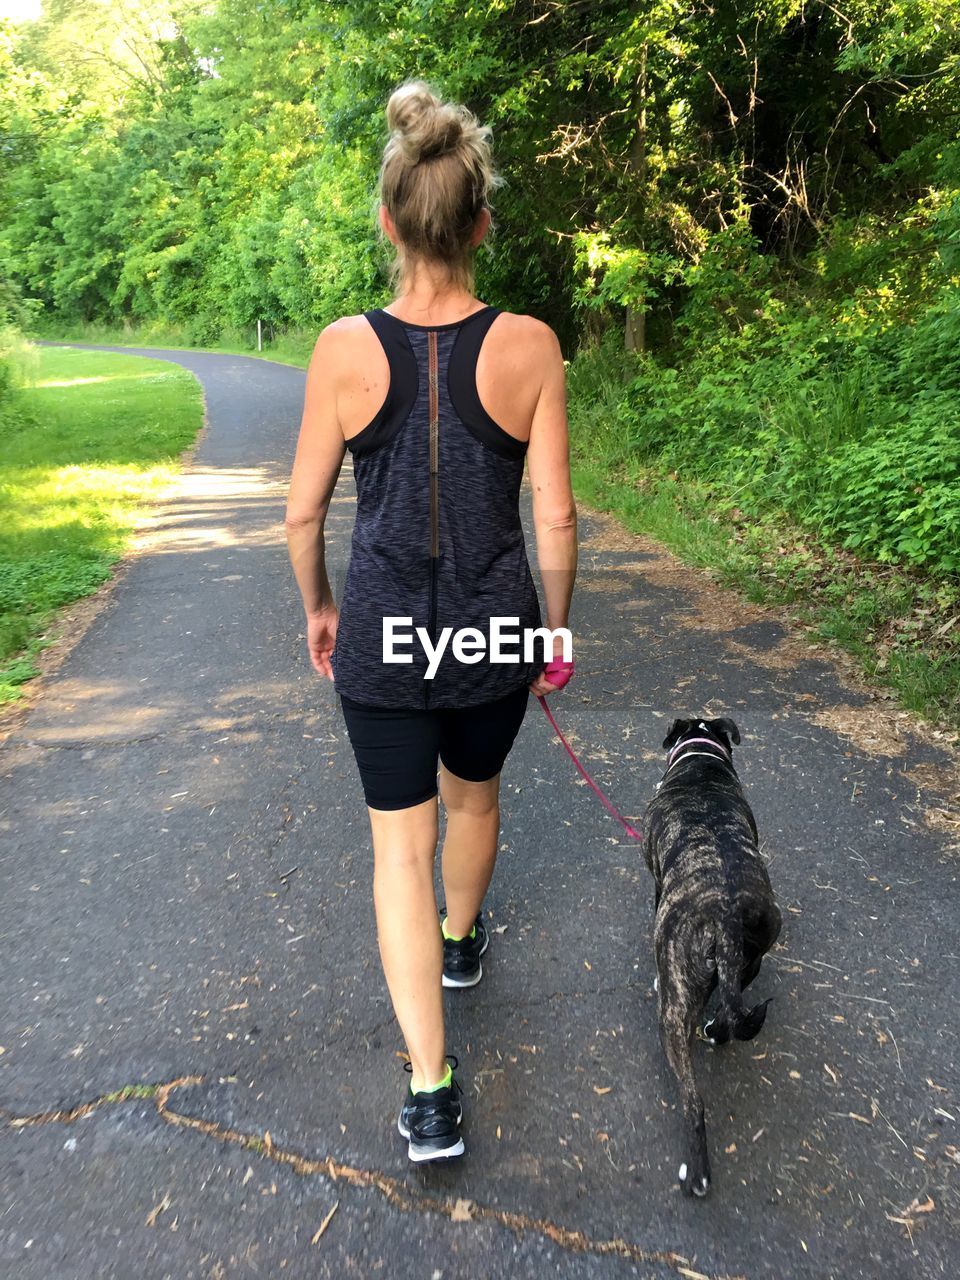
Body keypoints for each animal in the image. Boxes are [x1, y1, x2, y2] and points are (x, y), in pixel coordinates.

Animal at [640, 716, 783, 1192]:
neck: (702, 760)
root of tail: (727, 915)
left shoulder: (657, 884)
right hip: (750, 959)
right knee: (729, 1008)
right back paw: (717, 1032)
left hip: (674, 1009)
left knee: (693, 1099)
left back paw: (697, 1173)